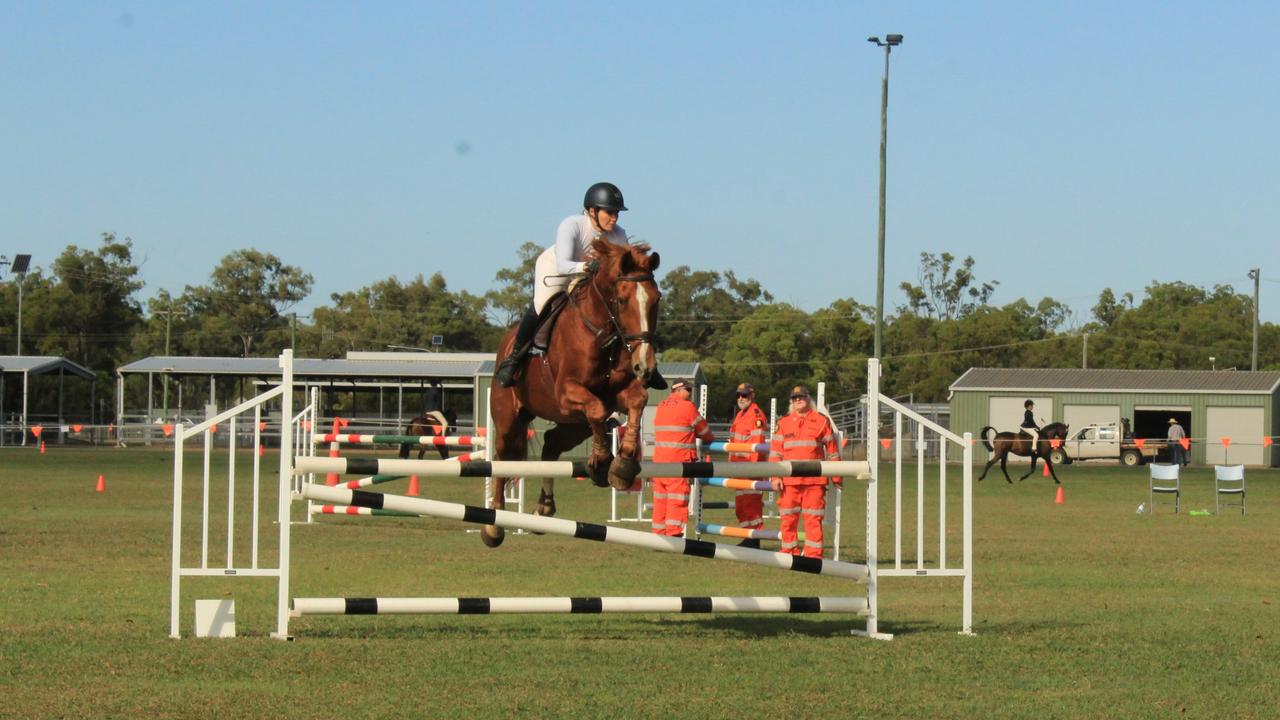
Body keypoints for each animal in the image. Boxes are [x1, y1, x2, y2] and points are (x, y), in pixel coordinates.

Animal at [481, 238, 660, 545]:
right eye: (622, 301)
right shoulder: (566, 394)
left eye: (656, 299)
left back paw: (544, 508)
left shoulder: (617, 394)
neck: (602, 334)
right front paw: (602, 460)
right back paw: (495, 524)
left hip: (574, 425)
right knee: (503, 459)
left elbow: (637, 400)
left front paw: (621, 465)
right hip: (508, 419)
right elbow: (599, 408)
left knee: (551, 443)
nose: (645, 366)